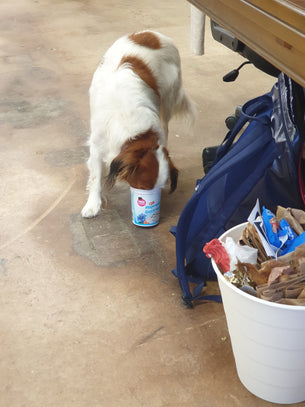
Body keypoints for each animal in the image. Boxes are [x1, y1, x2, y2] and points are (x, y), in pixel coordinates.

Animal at [81, 30, 195, 218]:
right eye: (143, 188)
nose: (150, 201)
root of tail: (153, 33)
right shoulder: (97, 143)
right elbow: (95, 176)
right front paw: (93, 205)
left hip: (166, 101)